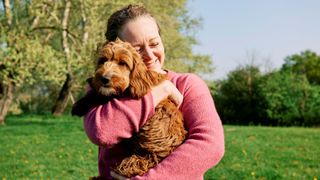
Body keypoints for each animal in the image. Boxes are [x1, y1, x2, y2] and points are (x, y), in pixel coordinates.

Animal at [72, 38, 188, 178]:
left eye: (123, 63)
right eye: (103, 60)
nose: (104, 79)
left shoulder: (127, 92)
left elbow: (104, 96)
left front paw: (82, 101)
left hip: (150, 152)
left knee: (143, 162)